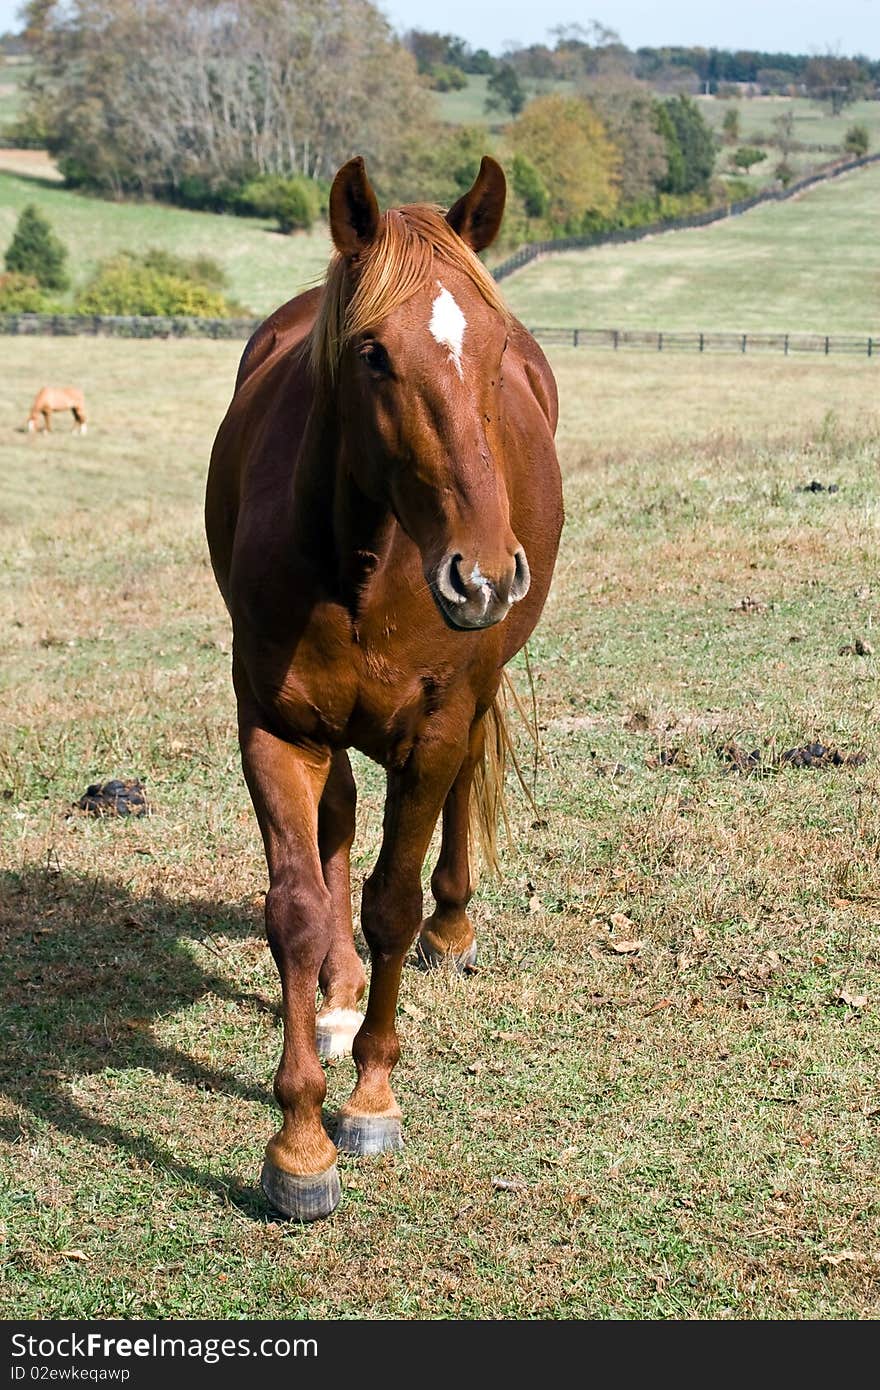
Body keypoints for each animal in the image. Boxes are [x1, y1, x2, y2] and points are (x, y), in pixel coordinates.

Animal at [205, 149, 561, 1217]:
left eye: (491, 344)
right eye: (370, 354)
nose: (482, 576)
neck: (360, 557)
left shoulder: (434, 731)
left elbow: (392, 902)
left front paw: (369, 1099)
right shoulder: (276, 729)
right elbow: (296, 908)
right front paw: (298, 1143)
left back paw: (452, 925)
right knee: (337, 830)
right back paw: (337, 994)